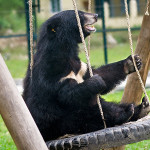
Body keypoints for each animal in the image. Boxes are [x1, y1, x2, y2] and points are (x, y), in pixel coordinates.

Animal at [22, 10, 149, 142]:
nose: (96, 15)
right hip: (60, 123)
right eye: (80, 14)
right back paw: (125, 113)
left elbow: (100, 73)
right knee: (88, 115)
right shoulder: (52, 72)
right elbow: (67, 94)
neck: (65, 51)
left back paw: (141, 108)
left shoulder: (80, 67)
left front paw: (132, 62)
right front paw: (96, 82)